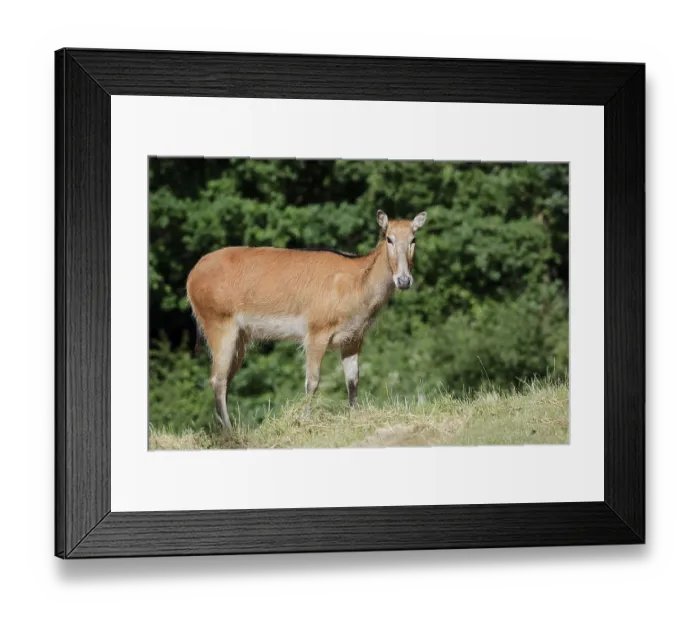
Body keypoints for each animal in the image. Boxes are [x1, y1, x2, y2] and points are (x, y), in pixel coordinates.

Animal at [186, 210, 428, 429]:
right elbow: (312, 380)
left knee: (225, 379)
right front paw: (304, 420)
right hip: (218, 322)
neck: (356, 292)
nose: (404, 280)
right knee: (217, 379)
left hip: (240, 337)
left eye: (413, 239)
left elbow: (353, 379)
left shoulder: (354, 337)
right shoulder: (316, 330)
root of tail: (190, 278)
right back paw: (229, 431)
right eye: (389, 238)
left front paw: (355, 417)